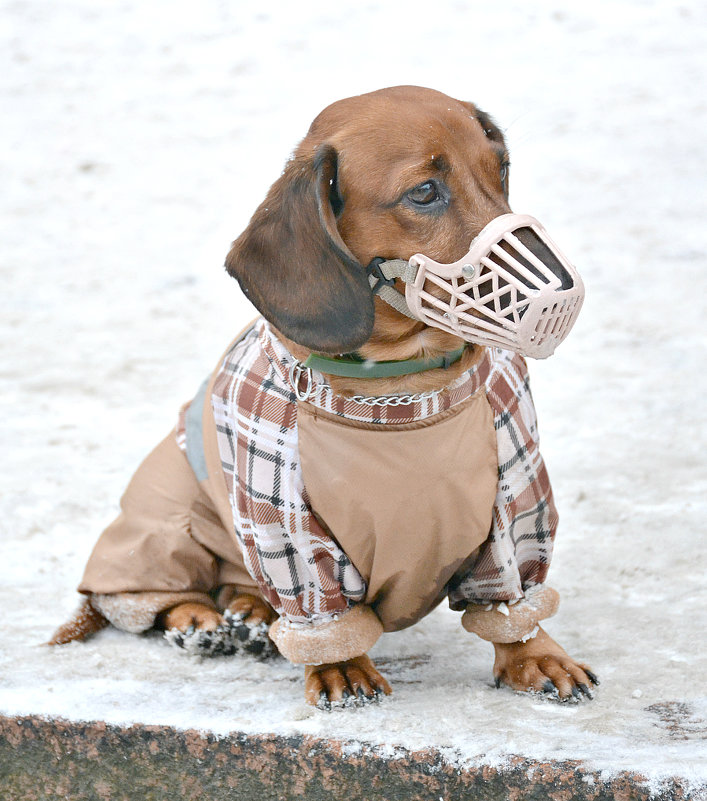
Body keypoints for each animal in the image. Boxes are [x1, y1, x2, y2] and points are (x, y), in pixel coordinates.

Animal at [51, 87, 596, 708]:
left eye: (501, 167)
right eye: (424, 192)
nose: (564, 295)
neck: (403, 401)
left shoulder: (512, 501)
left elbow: (511, 601)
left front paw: (535, 656)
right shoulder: (286, 528)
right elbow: (324, 615)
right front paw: (342, 668)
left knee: (235, 587)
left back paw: (249, 613)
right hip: (168, 521)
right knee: (144, 596)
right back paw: (199, 620)